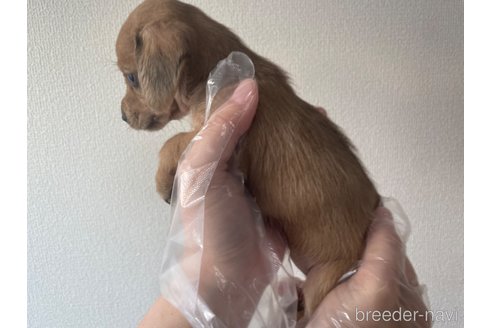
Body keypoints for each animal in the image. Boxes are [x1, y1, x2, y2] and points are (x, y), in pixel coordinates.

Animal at [116, 0, 380, 320]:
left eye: (132, 77)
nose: (122, 116)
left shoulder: (212, 129)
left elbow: (171, 143)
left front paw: (163, 181)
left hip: (324, 278)